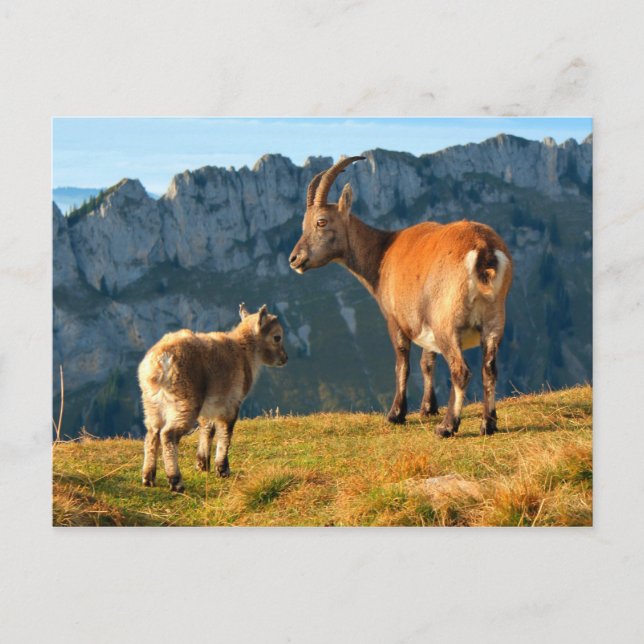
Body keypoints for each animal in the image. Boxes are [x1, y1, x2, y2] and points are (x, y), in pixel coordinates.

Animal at [138, 304, 288, 491]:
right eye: (277, 337)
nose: (285, 358)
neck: (244, 352)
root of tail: (160, 362)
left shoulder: (209, 407)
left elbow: (207, 429)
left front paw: (202, 465)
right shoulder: (231, 404)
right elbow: (225, 433)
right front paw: (223, 469)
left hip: (152, 403)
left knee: (152, 433)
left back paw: (148, 477)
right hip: (185, 401)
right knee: (168, 434)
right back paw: (175, 481)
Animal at [289, 156, 512, 437]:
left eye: (321, 221)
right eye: (303, 224)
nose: (294, 259)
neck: (382, 254)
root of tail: (484, 251)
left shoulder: (396, 320)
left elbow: (402, 364)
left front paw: (396, 414)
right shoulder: (423, 321)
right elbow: (427, 361)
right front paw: (427, 408)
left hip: (447, 321)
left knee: (461, 371)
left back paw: (447, 426)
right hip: (494, 320)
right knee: (489, 369)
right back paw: (488, 424)